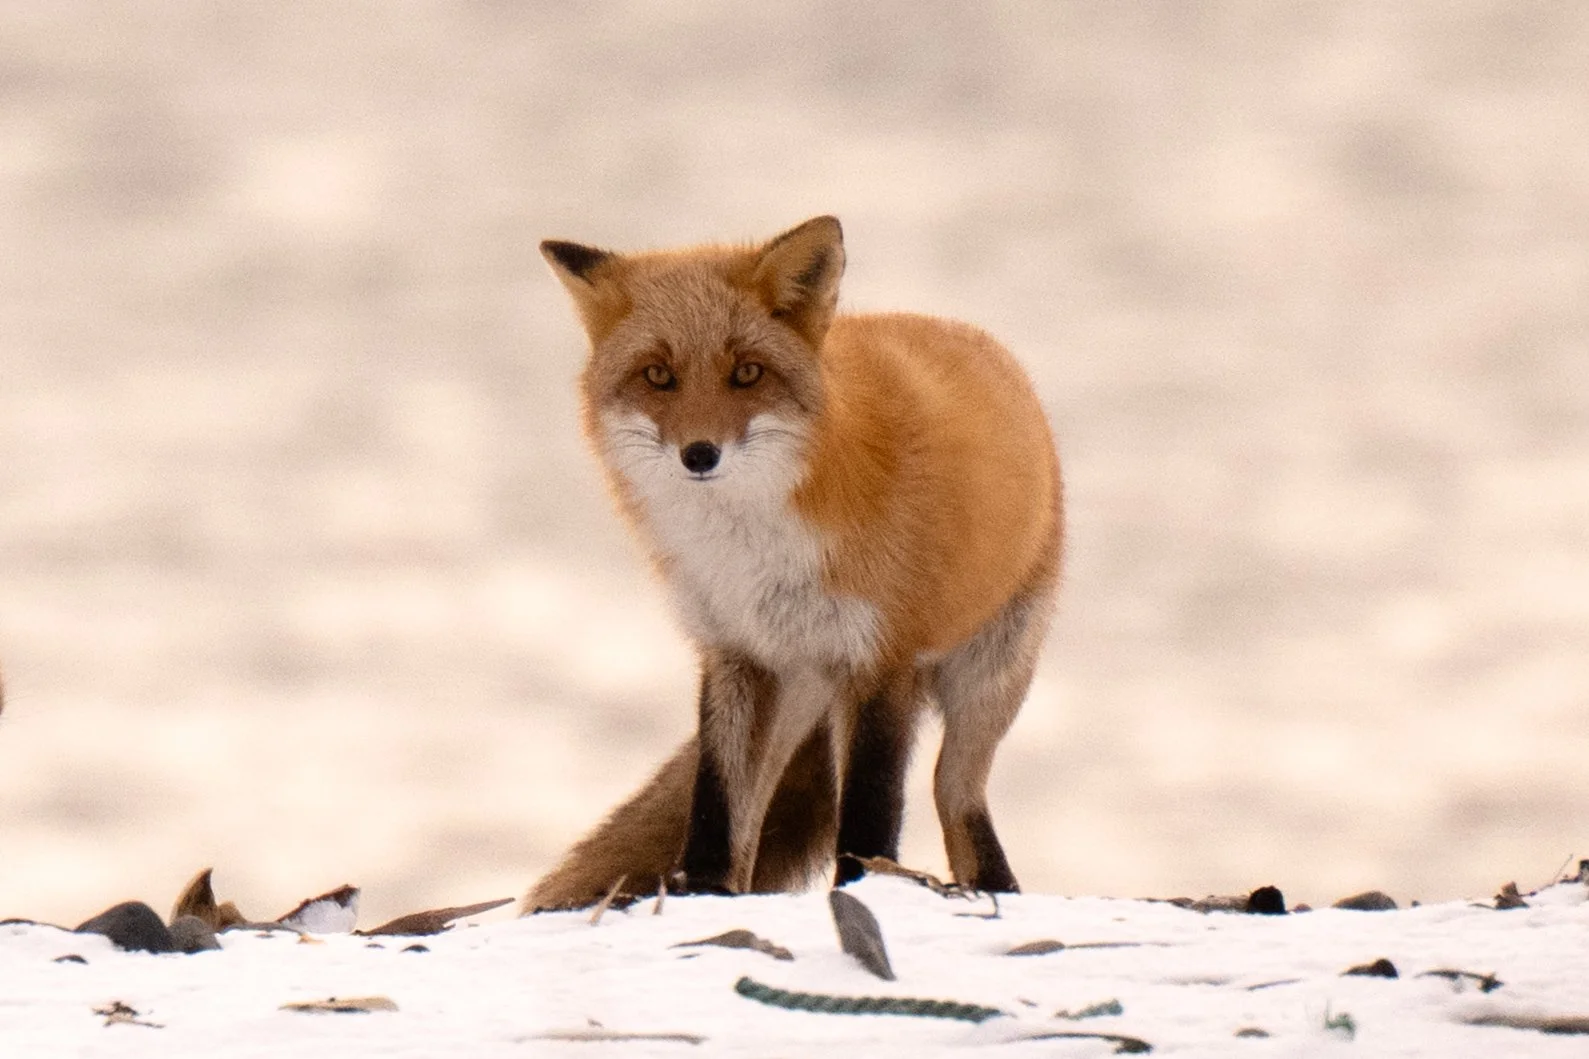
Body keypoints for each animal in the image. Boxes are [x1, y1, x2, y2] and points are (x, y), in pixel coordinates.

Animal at [524, 216, 1062, 912]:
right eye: (658, 375)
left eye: (748, 372)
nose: (700, 454)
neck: (751, 552)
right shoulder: (734, 652)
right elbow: (715, 806)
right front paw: (703, 891)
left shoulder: (880, 660)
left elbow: (868, 811)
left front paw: (862, 891)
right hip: (795, 693)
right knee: (753, 814)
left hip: (989, 677)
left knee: (954, 792)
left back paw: (995, 887)